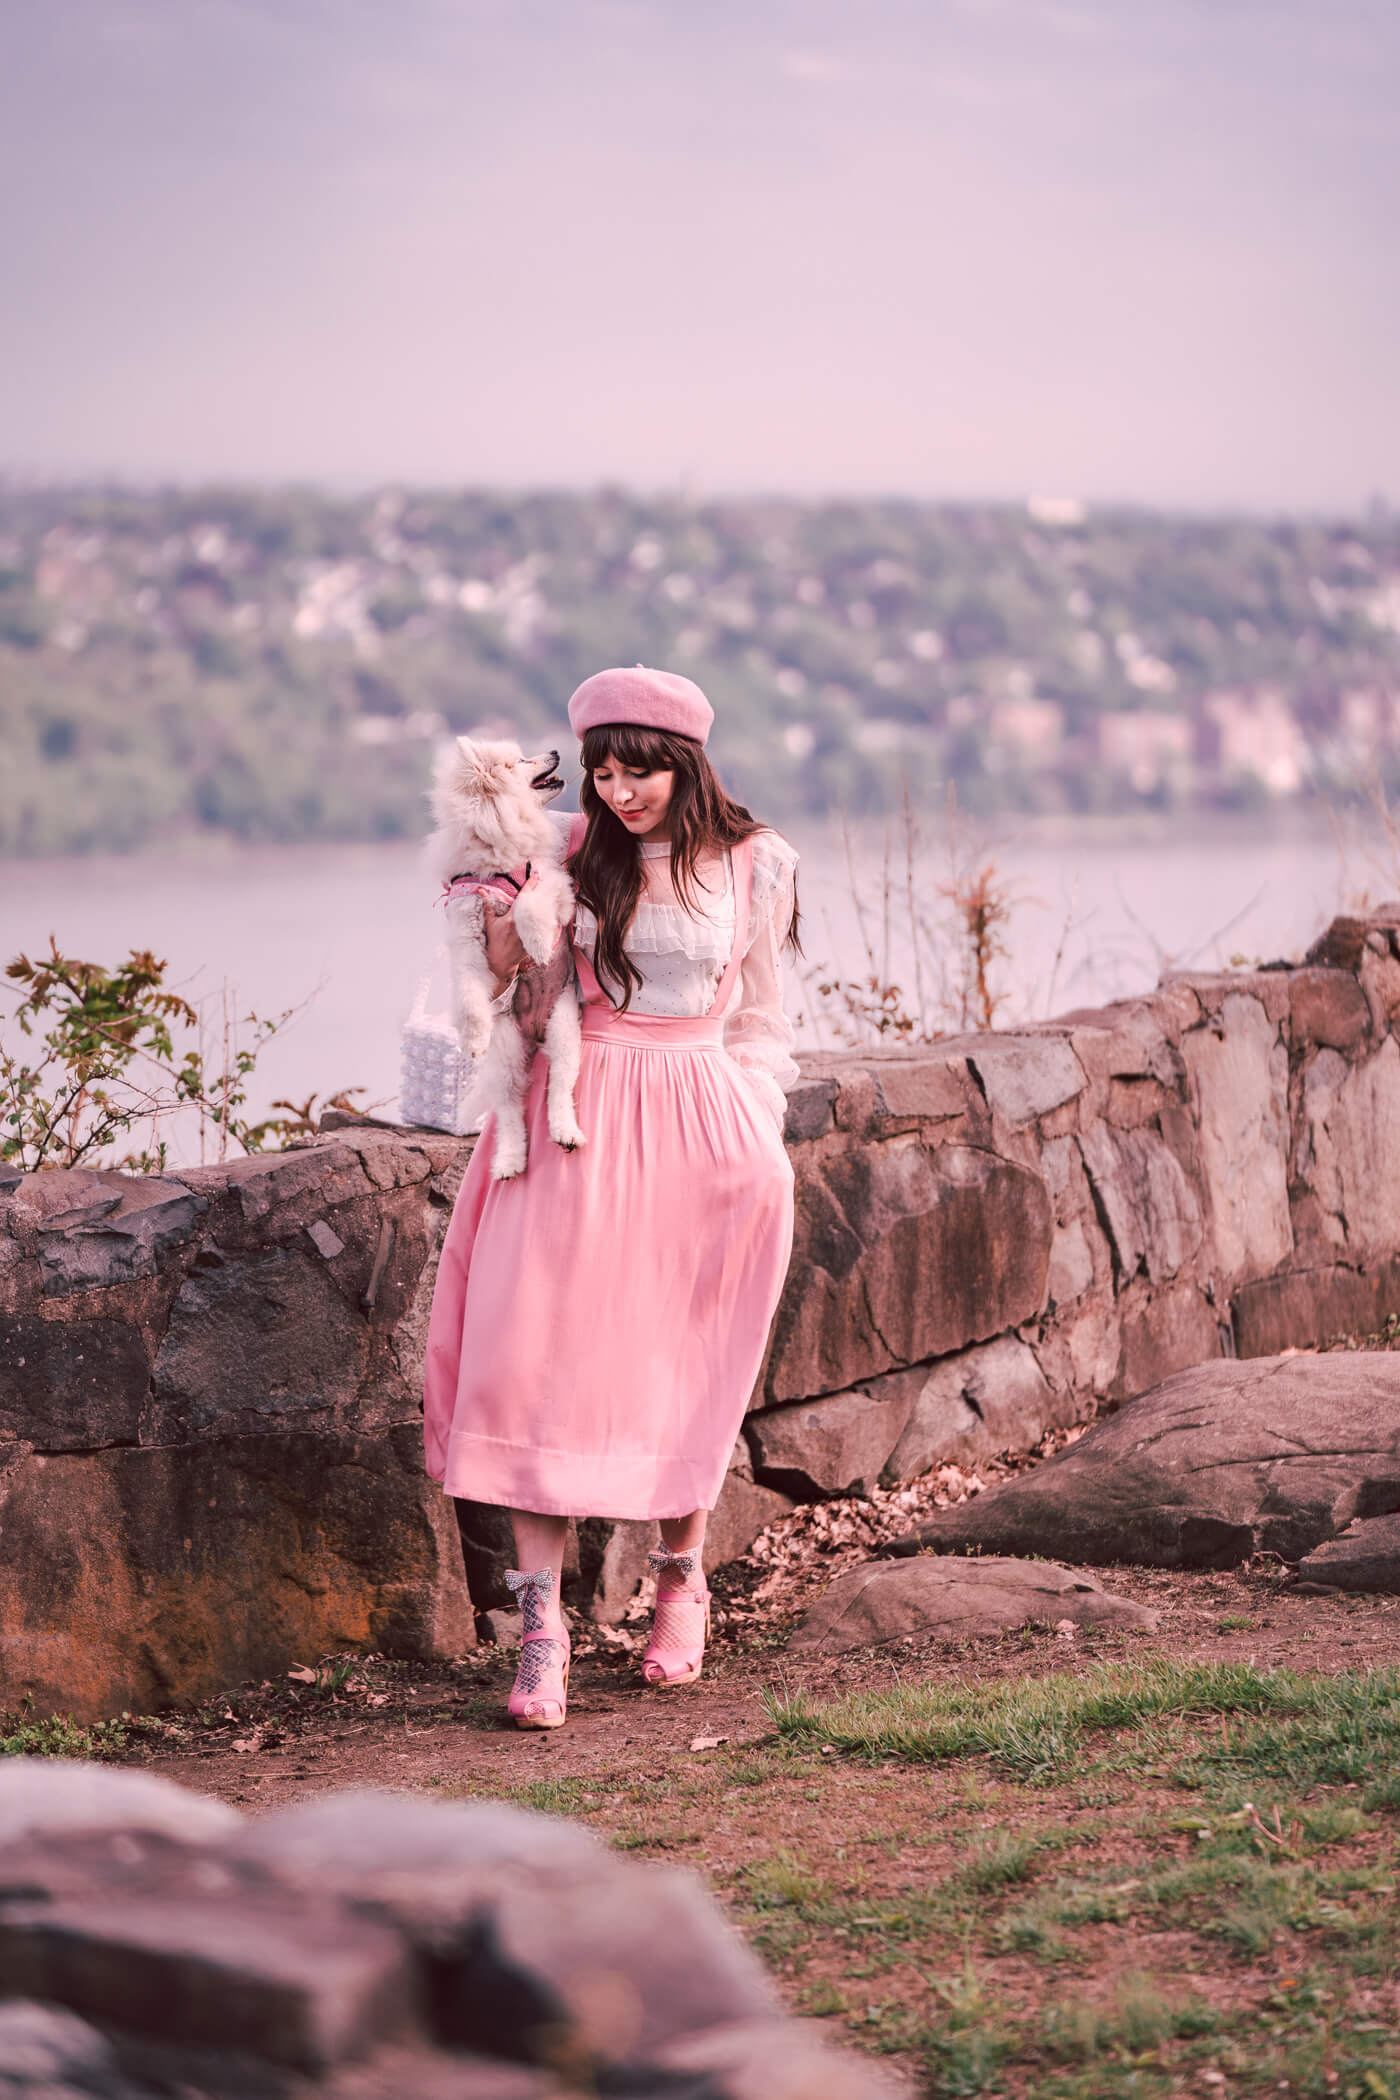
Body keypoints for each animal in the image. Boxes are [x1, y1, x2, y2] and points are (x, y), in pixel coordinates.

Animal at [423, 734, 583, 1184]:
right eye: (520, 762)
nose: (555, 751)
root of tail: (534, 1034)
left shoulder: (553, 887)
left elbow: (529, 902)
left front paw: (540, 943)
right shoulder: (467, 936)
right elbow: (469, 998)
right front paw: (472, 1039)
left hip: (564, 1029)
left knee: (559, 1088)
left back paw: (566, 1133)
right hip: (507, 1054)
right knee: (511, 1113)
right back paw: (511, 1161)